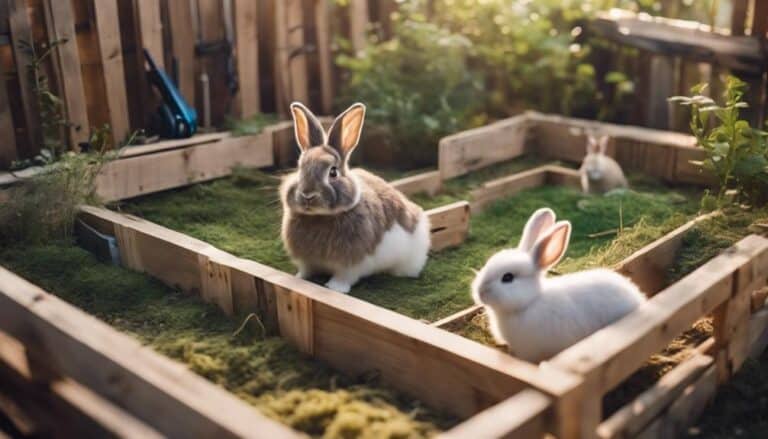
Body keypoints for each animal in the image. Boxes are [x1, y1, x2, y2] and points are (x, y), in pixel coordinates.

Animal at [280, 102, 430, 294]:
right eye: (300, 169)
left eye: (333, 172)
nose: (307, 195)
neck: (320, 217)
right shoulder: (307, 261)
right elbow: (307, 270)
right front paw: (299, 278)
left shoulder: (350, 264)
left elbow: (344, 277)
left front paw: (335, 288)